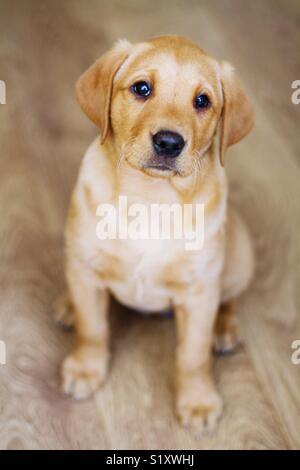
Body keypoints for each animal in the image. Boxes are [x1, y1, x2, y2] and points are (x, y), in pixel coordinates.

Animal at [55, 35, 253, 436]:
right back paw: (69, 306)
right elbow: (92, 327)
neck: (152, 198)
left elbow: (193, 355)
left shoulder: (199, 292)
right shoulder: (87, 266)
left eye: (202, 101)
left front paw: (198, 401)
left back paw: (223, 328)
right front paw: (85, 367)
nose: (169, 142)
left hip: (240, 256)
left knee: (229, 297)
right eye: (142, 89)